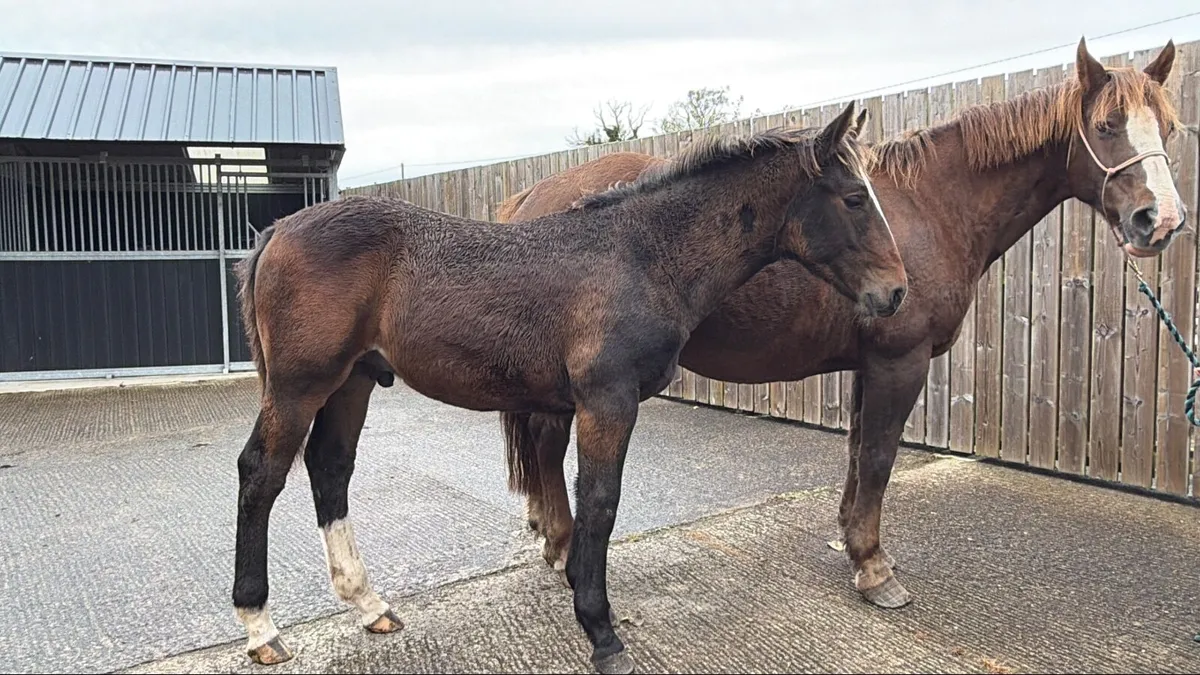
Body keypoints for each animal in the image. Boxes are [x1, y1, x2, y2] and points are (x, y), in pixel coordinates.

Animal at [230, 101, 909, 674]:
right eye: (854, 198)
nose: (897, 292)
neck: (642, 255)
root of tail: (277, 231)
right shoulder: (607, 402)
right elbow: (600, 504)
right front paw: (602, 633)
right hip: (298, 387)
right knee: (262, 473)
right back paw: (261, 626)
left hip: (353, 382)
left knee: (330, 468)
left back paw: (370, 605)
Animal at [497, 38, 1187, 611]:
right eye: (1105, 125)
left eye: (1171, 128)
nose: (1160, 221)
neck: (931, 207)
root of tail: (534, 198)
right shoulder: (900, 360)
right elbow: (879, 457)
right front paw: (874, 569)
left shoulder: (869, 363)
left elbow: (858, 453)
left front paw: (854, 546)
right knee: (548, 444)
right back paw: (561, 543)